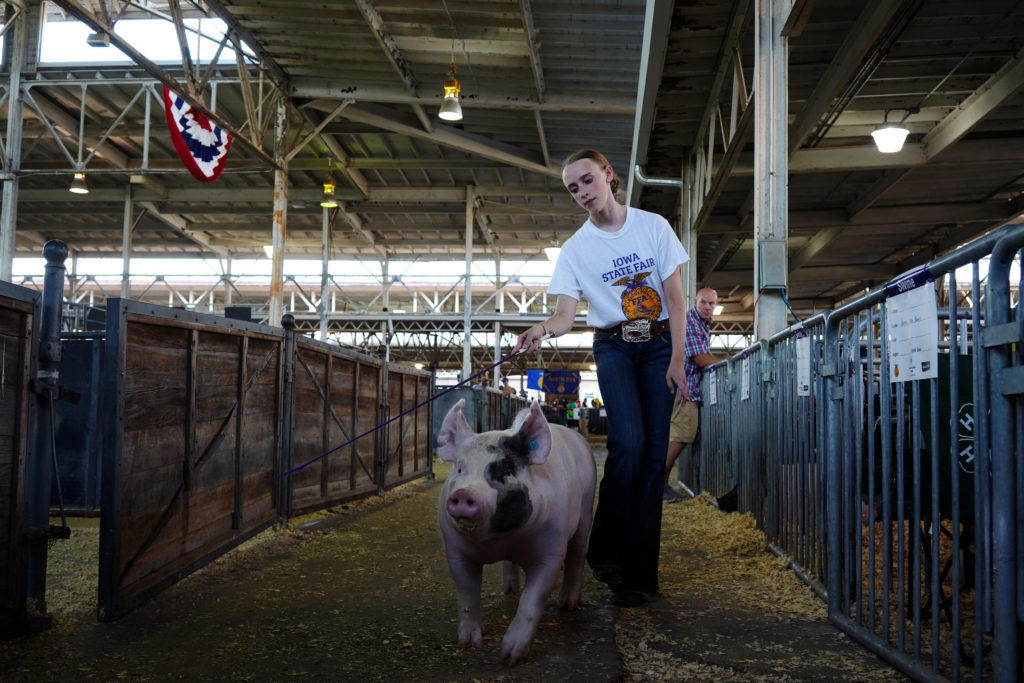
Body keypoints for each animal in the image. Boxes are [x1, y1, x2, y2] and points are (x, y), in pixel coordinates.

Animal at [436, 401, 598, 663]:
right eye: (460, 469)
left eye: (507, 471)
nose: (464, 494)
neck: (501, 542)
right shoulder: (456, 551)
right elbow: (467, 593)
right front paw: (468, 644)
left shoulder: (550, 551)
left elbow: (532, 600)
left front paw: (508, 656)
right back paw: (510, 591)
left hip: (585, 513)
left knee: (577, 554)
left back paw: (567, 605)